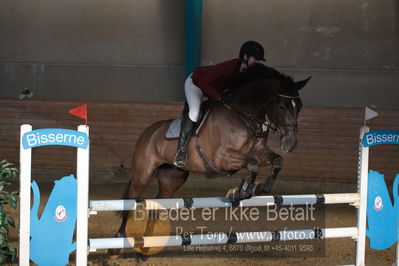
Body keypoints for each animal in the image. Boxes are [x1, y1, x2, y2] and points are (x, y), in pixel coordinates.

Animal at [115, 64, 312, 245]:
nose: (291, 144)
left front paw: (259, 188)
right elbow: (252, 164)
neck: (244, 115)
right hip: (144, 173)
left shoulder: (259, 152)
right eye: (282, 106)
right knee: (130, 199)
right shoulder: (222, 158)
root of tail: (147, 133)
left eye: (300, 107)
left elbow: (277, 161)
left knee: (158, 205)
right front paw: (243, 190)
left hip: (172, 178)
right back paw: (119, 239)